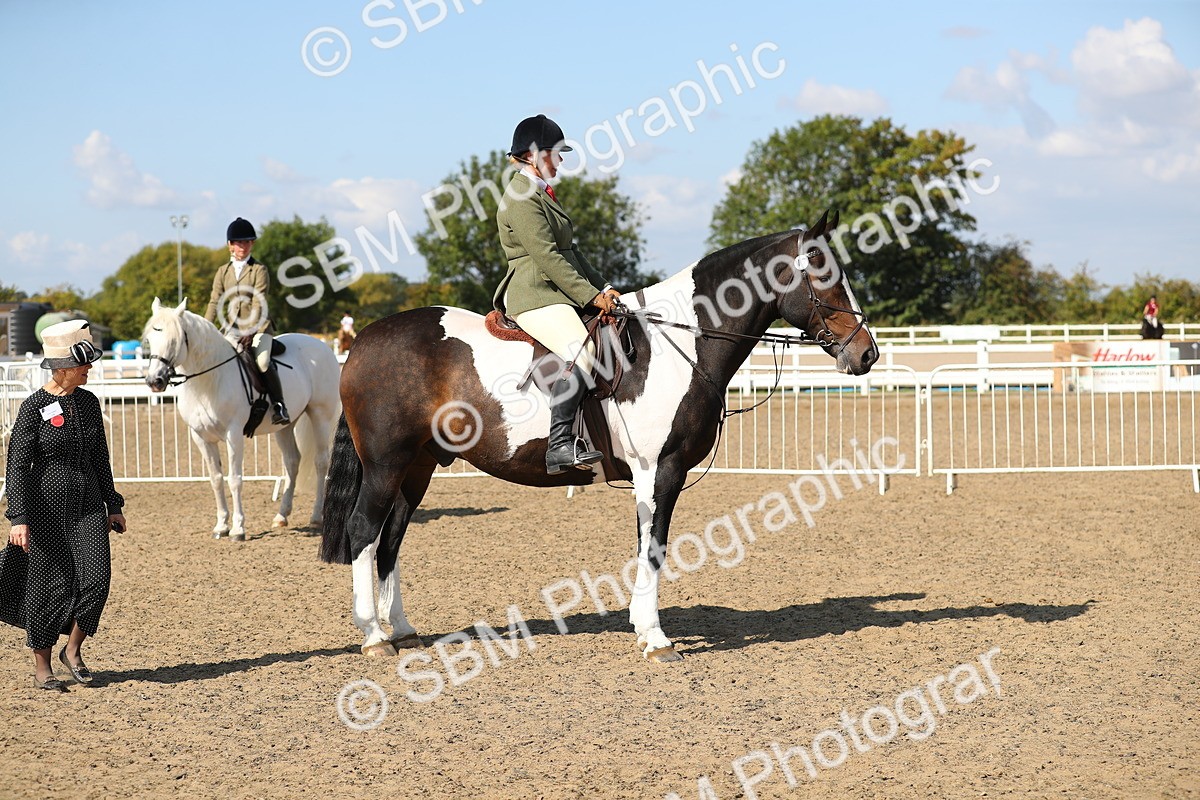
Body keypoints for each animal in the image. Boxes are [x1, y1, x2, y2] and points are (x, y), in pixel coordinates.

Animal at [142, 298, 343, 541]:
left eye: (174, 340)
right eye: (150, 340)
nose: (154, 381)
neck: (209, 381)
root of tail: (320, 344)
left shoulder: (233, 434)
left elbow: (235, 479)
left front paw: (238, 529)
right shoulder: (201, 437)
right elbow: (216, 479)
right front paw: (221, 526)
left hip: (321, 415)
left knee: (321, 462)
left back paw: (316, 517)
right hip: (285, 426)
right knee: (292, 462)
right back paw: (281, 516)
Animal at [320, 211, 878, 661]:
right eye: (823, 271)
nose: (866, 353)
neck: (677, 344)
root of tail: (364, 340)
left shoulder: (650, 475)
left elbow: (645, 543)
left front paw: (640, 625)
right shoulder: (661, 469)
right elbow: (655, 547)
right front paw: (657, 640)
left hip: (417, 467)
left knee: (392, 537)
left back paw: (402, 629)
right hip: (386, 464)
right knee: (365, 530)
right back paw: (374, 637)